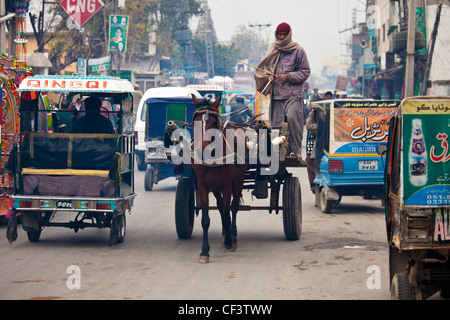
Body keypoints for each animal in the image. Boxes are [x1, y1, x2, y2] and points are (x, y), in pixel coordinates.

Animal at [190, 93, 246, 262]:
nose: (201, 151)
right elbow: (205, 219)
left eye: (213, 123)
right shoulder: (203, 185)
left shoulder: (227, 185)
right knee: (221, 206)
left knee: (233, 207)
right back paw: (225, 234)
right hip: (215, 186)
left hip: (239, 178)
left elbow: (228, 214)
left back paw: (232, 236)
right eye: (194, 123)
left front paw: (229, 241)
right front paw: (204, 251)